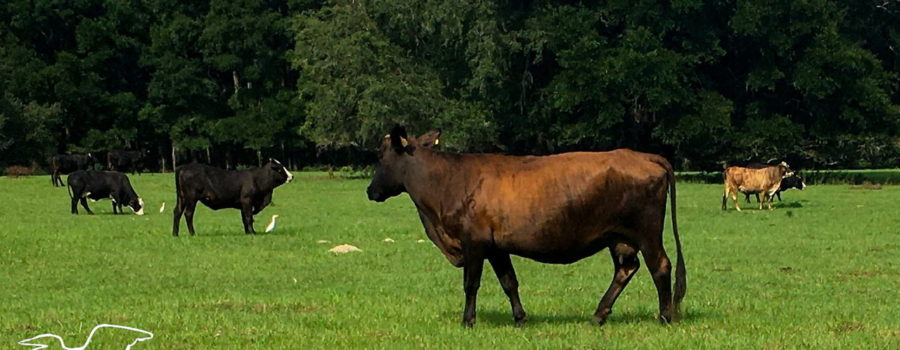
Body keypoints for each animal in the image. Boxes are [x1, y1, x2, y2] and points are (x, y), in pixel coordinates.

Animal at [364, 126, 684, 328]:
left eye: (380, 155)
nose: (370, 190)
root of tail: (640, 155)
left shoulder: (473, 242)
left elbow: (471, 283)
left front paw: (468, 320)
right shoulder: (496, 247)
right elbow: (509, 282)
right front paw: (519, 318)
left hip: (647, 232)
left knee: (660, 266)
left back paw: (664, 317)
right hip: (618, 237)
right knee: (626, 269)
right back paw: (598, 316)